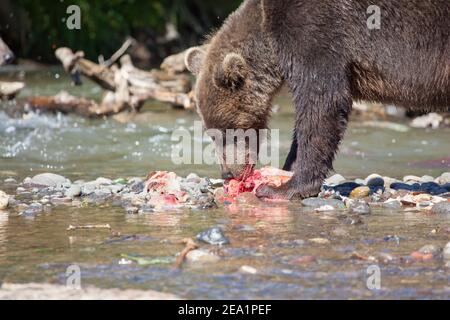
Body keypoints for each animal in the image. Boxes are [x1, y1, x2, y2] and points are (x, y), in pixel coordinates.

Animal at [185, 0, 450, 199]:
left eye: (228, 131)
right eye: (210, 133)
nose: (227, 174)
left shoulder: (317, 33)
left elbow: (322, 104)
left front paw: (283, 187)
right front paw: (286, 171)